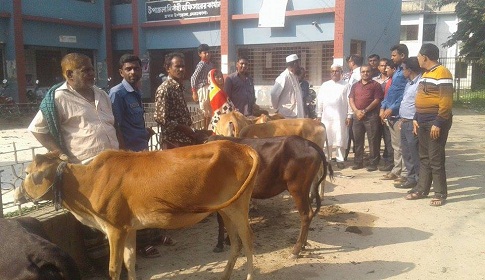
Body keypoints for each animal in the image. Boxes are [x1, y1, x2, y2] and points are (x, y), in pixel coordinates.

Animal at [20, 141, 260, 280]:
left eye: (28, 173)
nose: (18, 193)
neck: (89, 182)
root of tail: (241, 147)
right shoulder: (129, 228)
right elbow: (129, 262)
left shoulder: (115, 228)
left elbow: (114, 268)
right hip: (226, 209)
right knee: (236, 243)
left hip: (238, 207)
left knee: (248, 240)